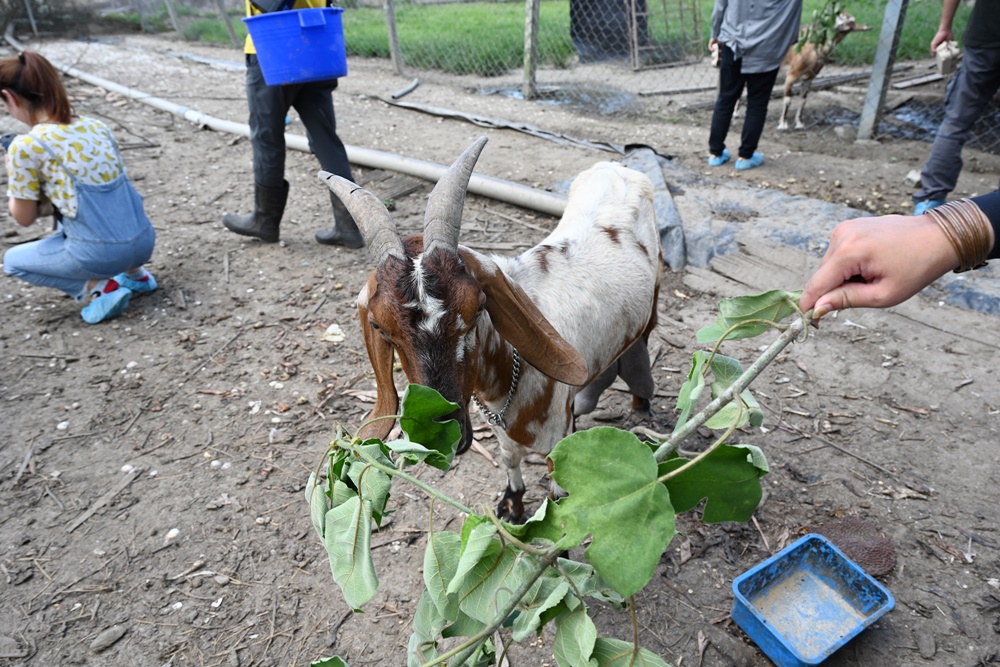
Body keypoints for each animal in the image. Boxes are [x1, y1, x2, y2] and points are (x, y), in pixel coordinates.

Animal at [320, 136, 664, 520]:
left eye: (477, 308)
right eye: (380, 326)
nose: (443, 433)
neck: (509, 379)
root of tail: (614, 166)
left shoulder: (558, 440)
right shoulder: (502, 430)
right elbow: (508, 456)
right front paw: (512, 502)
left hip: (655, 293)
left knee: (644, 338)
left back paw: (640, 402)